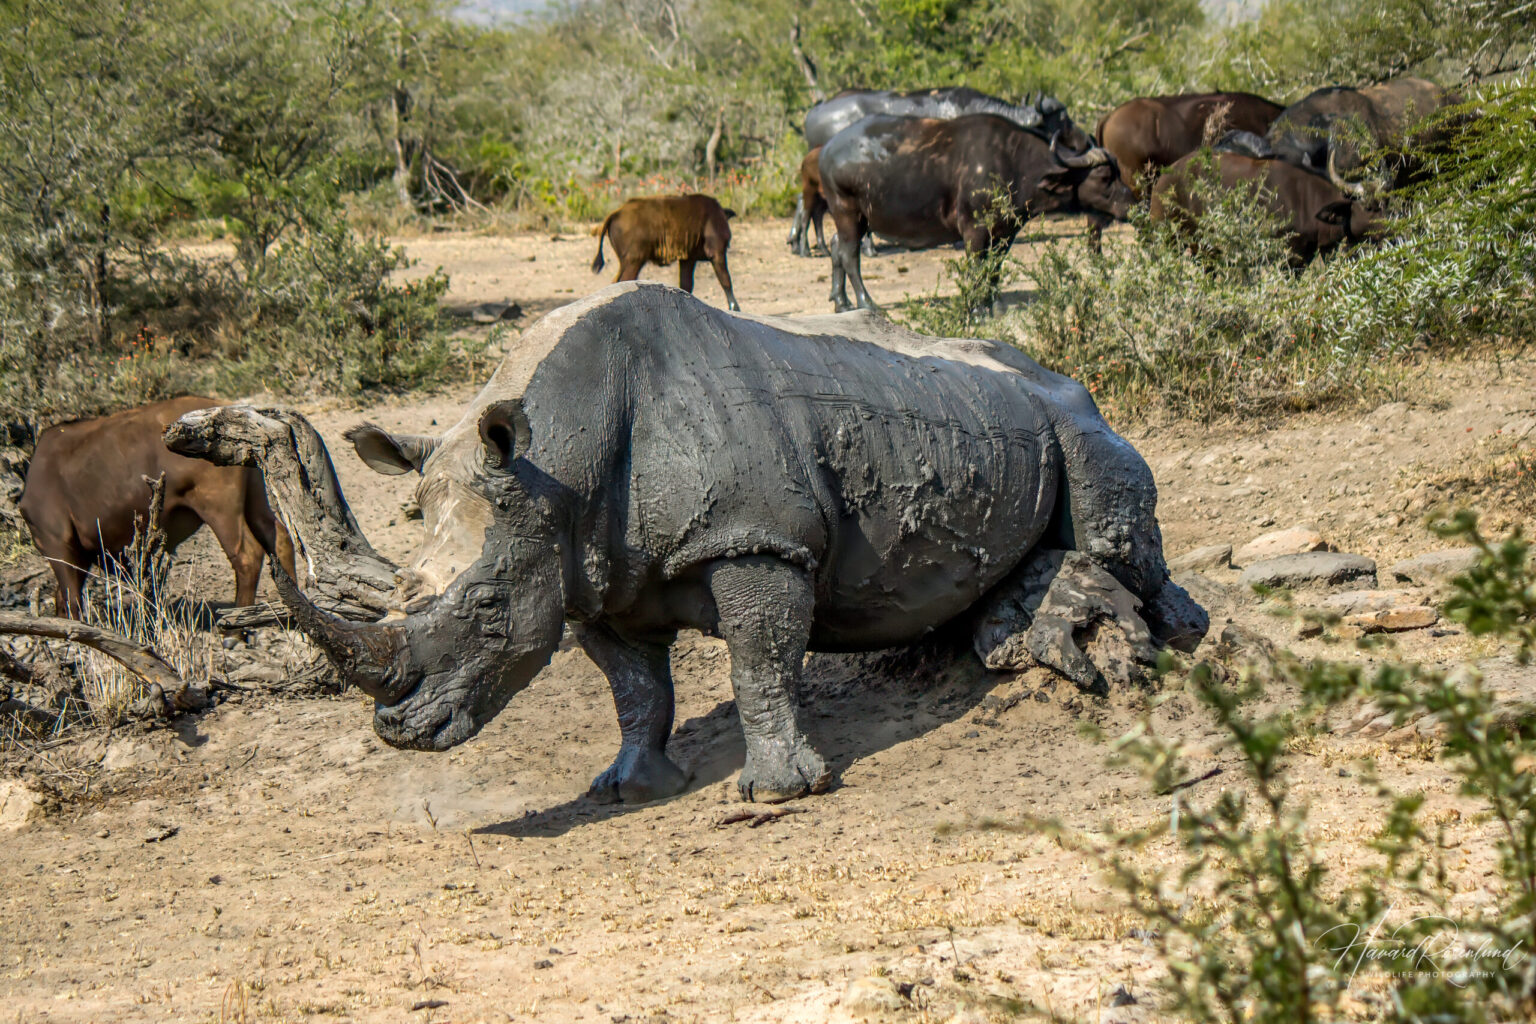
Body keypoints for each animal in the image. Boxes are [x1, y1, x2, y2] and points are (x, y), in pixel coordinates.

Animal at [167, 283, 1205, 804]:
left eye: (489, 607)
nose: (398, 734)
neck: (558, 456)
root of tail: (1055, 368)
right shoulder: (588, 570)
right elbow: (637, 689)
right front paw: (629, 786)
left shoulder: (755, 540)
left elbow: (759, 660)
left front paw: (777, 794)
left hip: (1072, 409)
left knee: (1108, 492)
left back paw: (1177, 632)